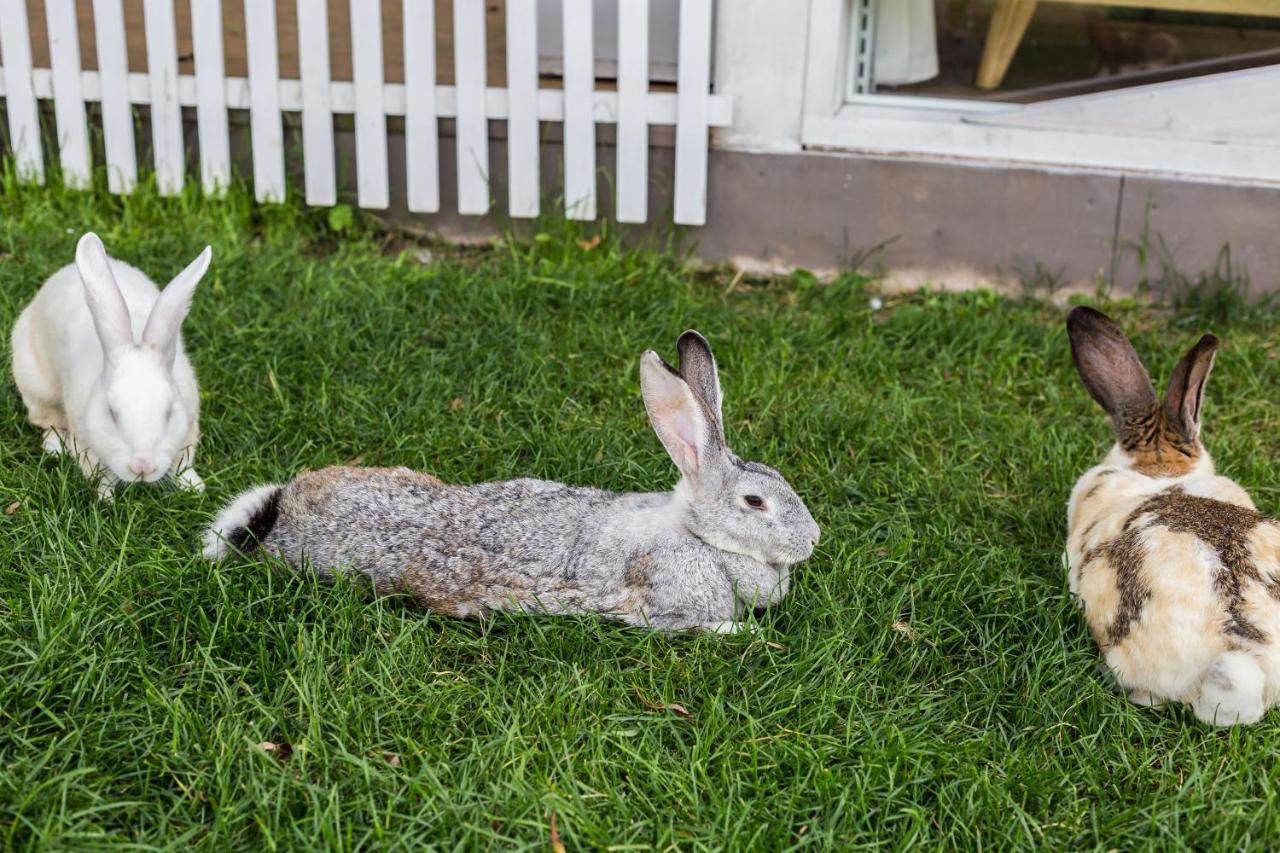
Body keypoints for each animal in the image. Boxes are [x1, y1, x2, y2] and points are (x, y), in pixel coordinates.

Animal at [11, 230, 209, 499]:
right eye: (111, 413)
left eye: (169, 413)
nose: (143, 467)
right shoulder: (84, 443)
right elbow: (100, 475)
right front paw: (106, 499)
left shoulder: (189, 429)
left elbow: (183, 463)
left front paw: (194, 487)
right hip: (36, 388)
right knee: (47, 420)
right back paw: (54, 447)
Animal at [202, 327, 819, 627]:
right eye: (756, 502)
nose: (813, 540)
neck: (700, 537)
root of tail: (282, 512)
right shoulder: (672, 603)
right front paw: (746, 633)